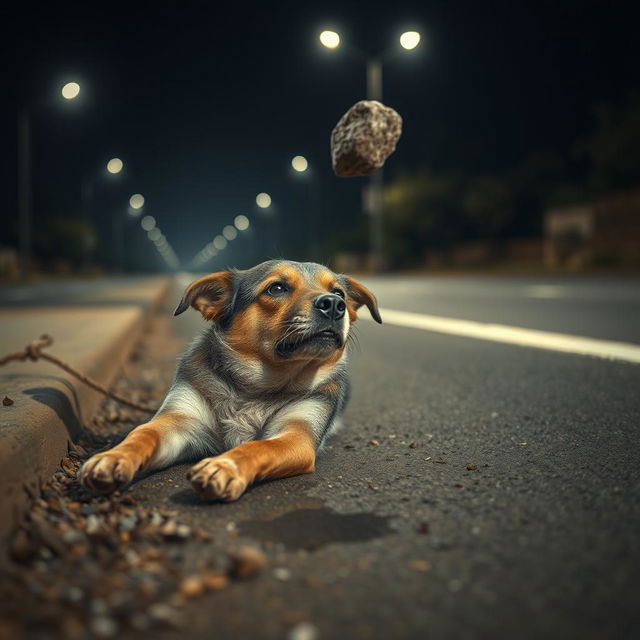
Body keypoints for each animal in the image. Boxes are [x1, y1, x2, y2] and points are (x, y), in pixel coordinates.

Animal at [80, 260, 380, 500]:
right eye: (277, 288)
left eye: (339, 293)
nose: (335, 305)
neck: (256, 386)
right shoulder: (178, 420)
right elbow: (142, 433)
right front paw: (114, 456)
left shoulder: (297, 435)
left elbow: (257, 446)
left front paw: (224, 467)